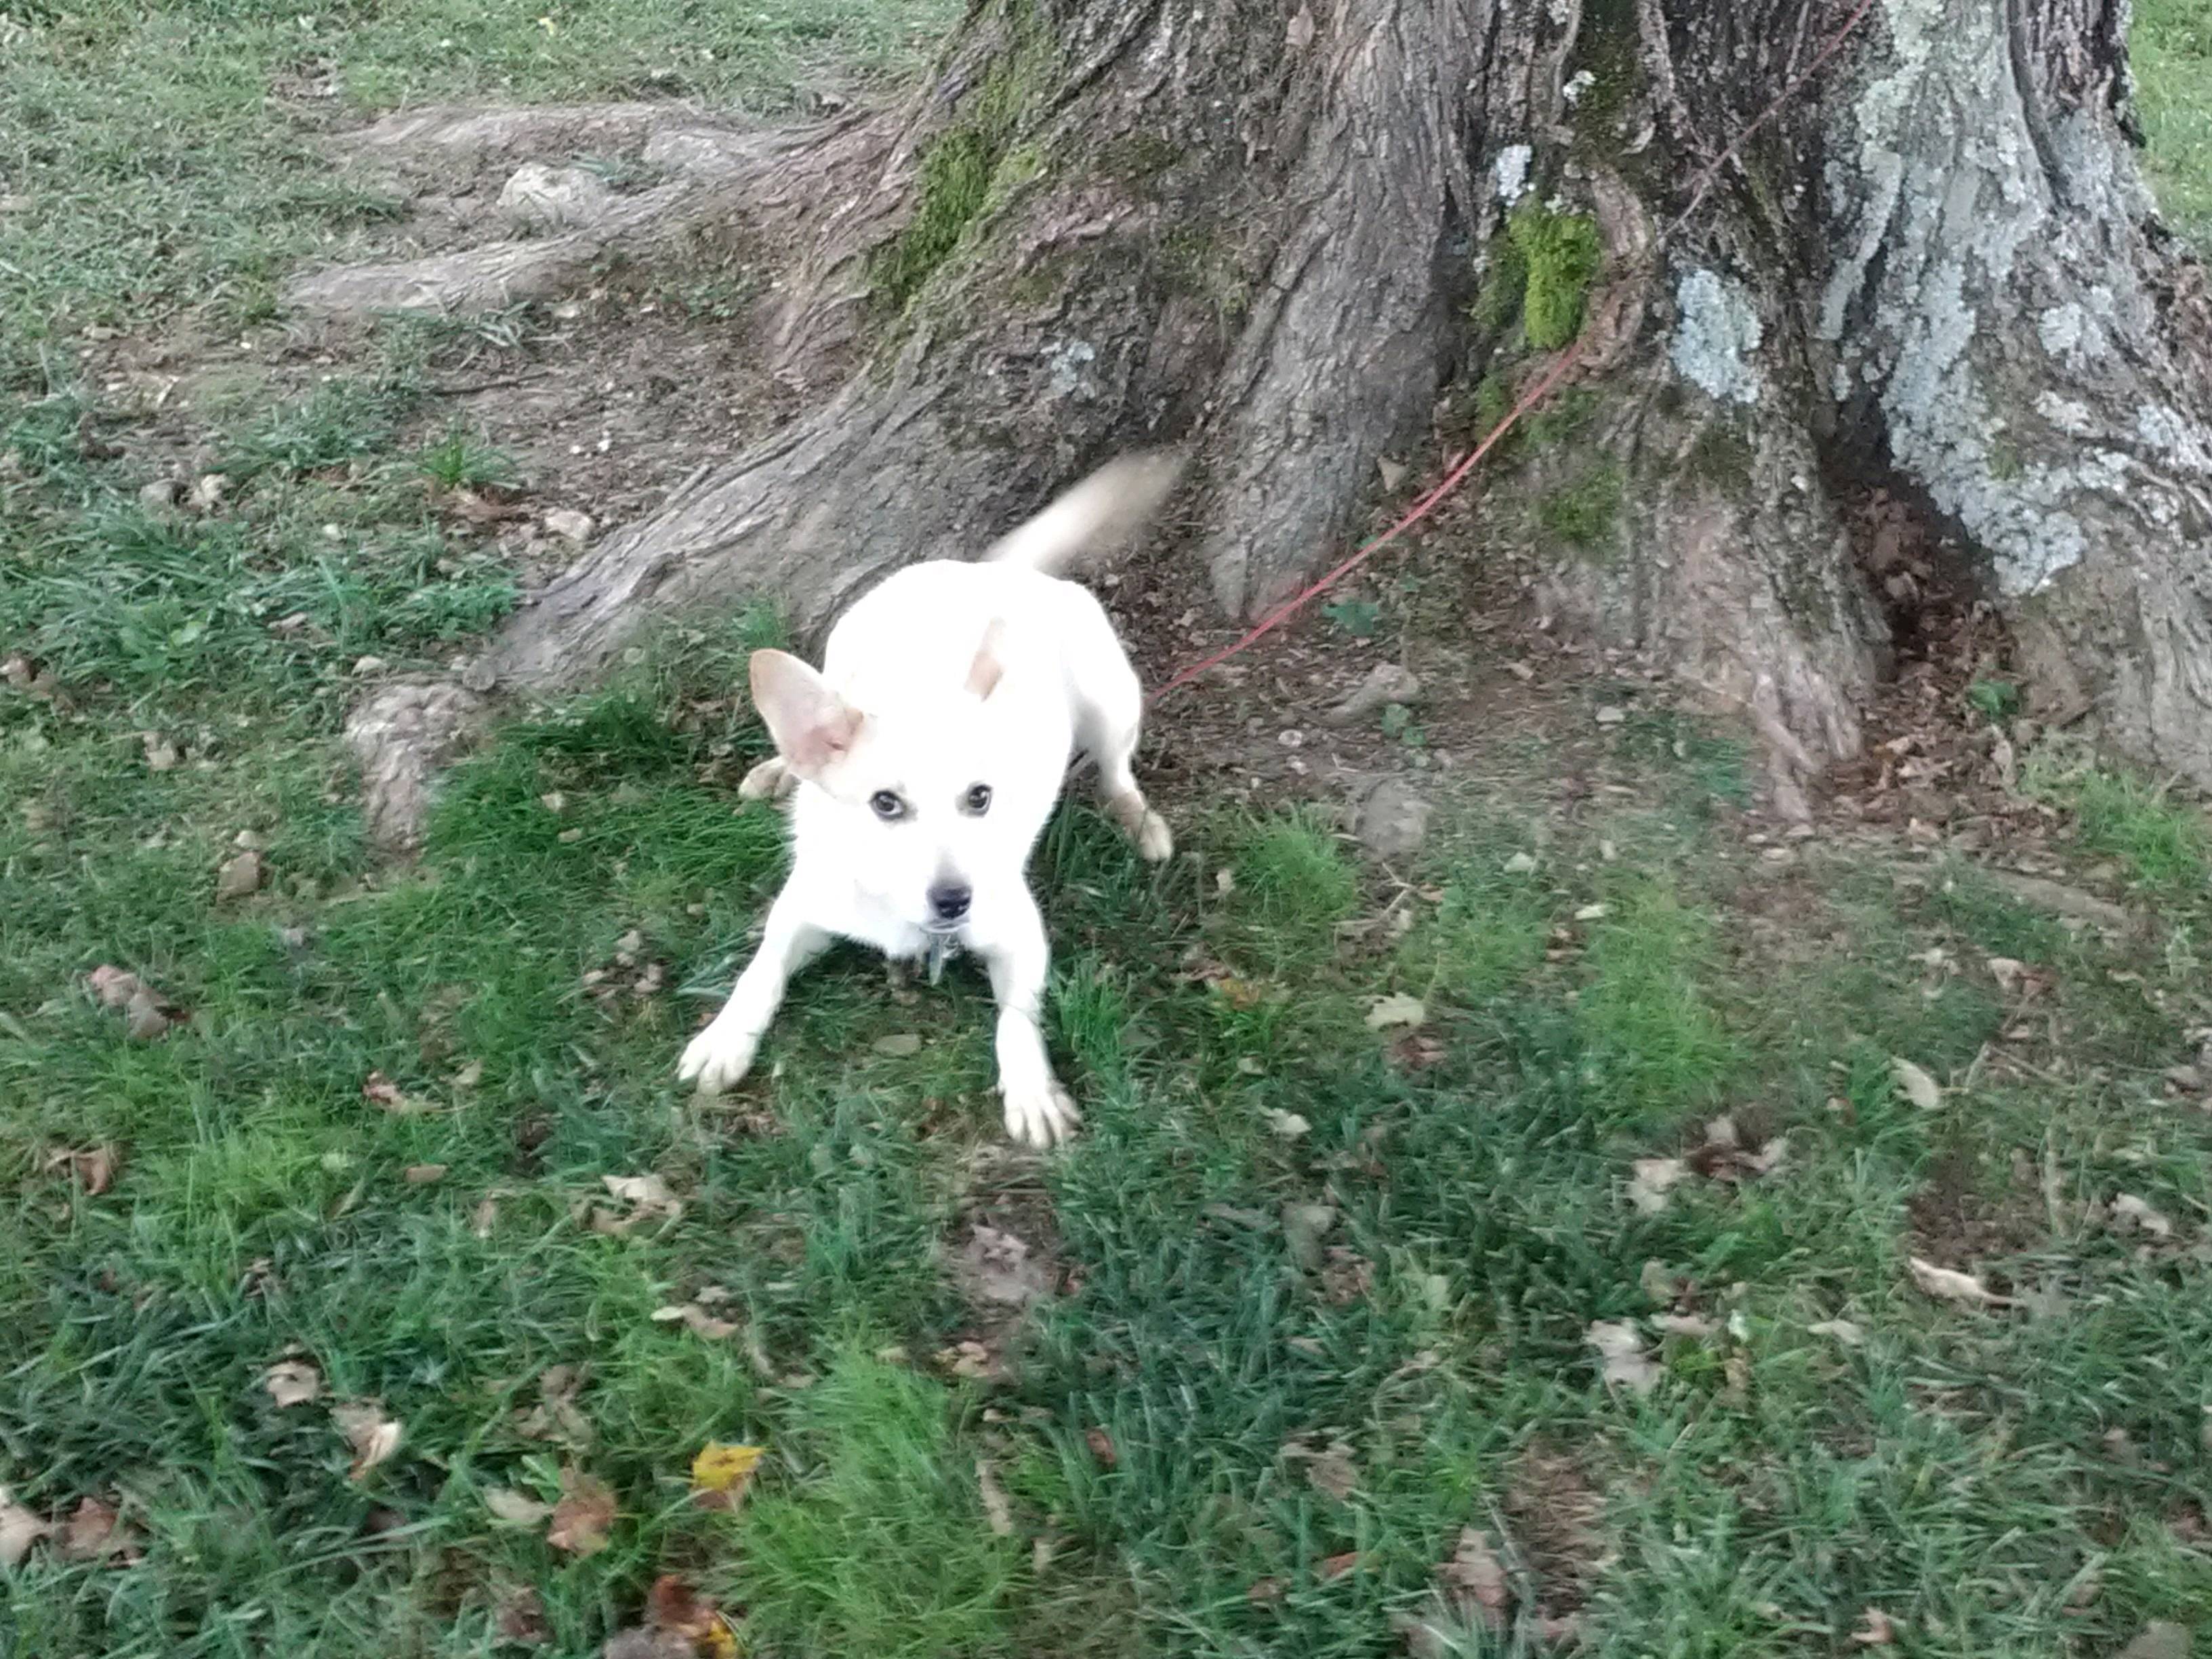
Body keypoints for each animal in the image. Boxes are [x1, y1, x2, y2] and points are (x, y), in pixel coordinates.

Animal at [672, 462, 1185, 1150]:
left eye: (981, 797)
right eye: (885, 804)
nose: (954, 901)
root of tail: (993, 572)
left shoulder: (1021, 937)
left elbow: (1015, 1021)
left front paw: (1032, 1090)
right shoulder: (799, 911)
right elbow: (759, 972)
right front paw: (726, 1037)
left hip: (1110, 700)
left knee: (1117, 770)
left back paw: (1140, 821)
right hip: (840, 653)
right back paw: (782, 768)